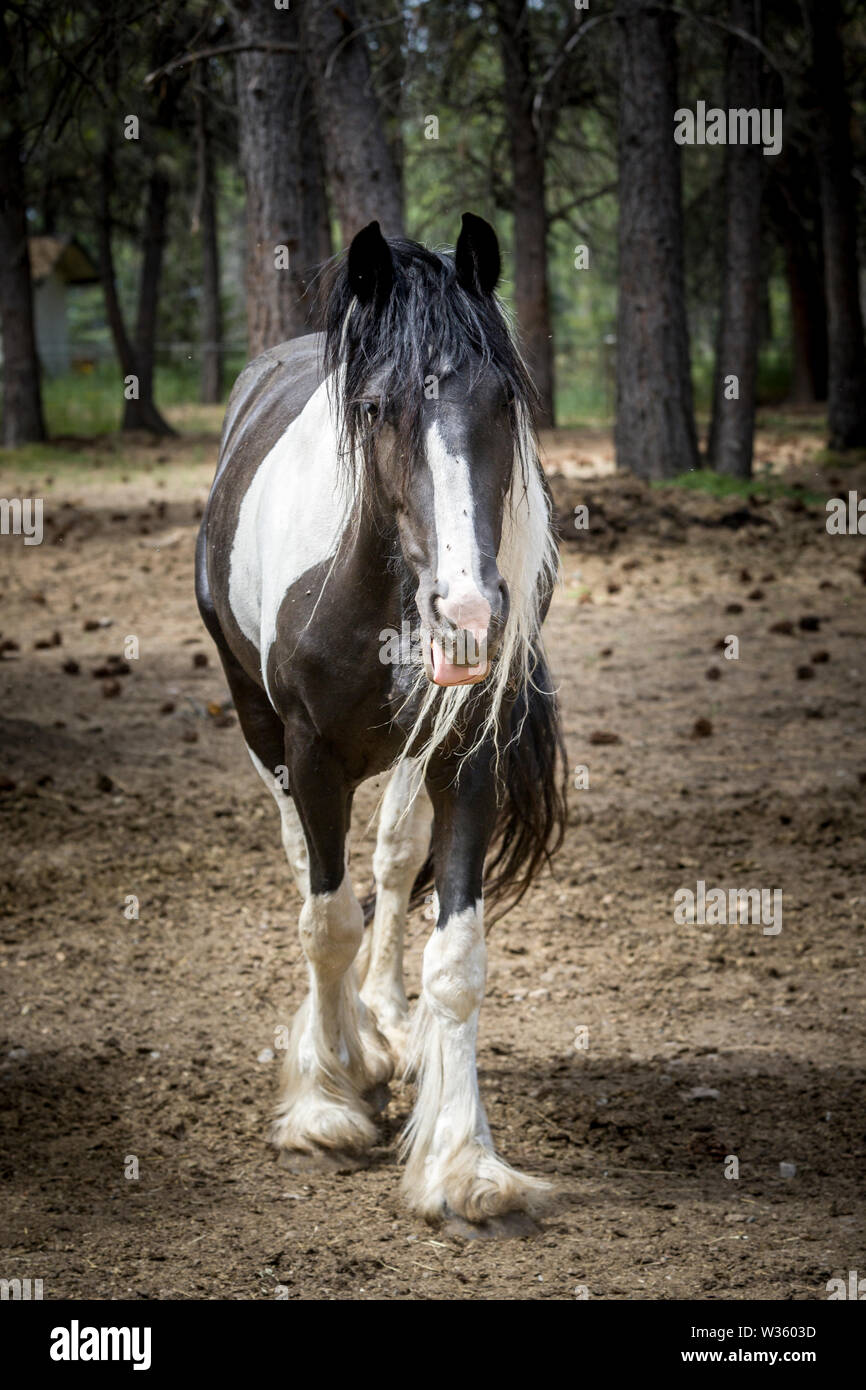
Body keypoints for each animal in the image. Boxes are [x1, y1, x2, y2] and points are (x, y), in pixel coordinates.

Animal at [195, 214, 569, 1228]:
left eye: (504, 400)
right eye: (371, 408)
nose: (469, 611)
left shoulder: (466, 759)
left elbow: (455, 954)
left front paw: (463, 1163)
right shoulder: (310, 752)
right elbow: (324, 920)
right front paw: (328, 1098)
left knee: (396, 860)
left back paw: (390, 1023)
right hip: (262, 730)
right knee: (307, 870)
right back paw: (349, 1044)